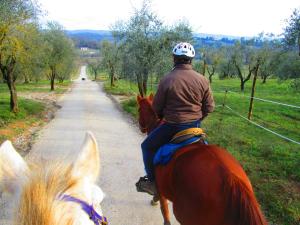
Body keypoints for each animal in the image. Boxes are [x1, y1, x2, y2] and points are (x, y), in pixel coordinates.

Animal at [137, 95, 268, 225]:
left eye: (138, 110)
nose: (141, 128)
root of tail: (230, 178)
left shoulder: (161, 188)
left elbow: (165, 212)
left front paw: (154, 200)